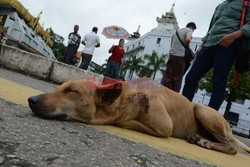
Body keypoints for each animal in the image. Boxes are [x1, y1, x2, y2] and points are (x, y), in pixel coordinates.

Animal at [28, 77, 249, 155]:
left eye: (72, 91)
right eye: (59, 88)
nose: (31, 100)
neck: (126, 95)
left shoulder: (165, 127)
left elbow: (124, 121)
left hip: (202, 110)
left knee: (231, 147)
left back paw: (208, 143)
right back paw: (198, 138)